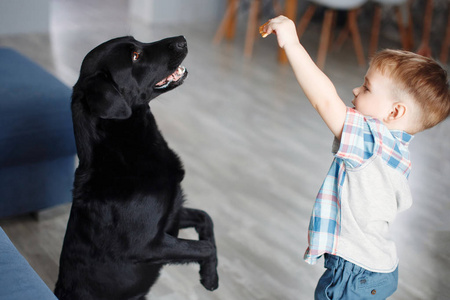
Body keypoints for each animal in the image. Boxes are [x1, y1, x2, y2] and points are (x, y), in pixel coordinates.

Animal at [53, 36, 219, 298]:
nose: (182, 39)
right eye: (135, 56)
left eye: (136, 42)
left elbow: (206, 219)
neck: (122, 155)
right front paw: (210, 275)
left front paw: (210, 274)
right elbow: (204, 247)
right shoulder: (149, 246)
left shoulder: (173, 214)